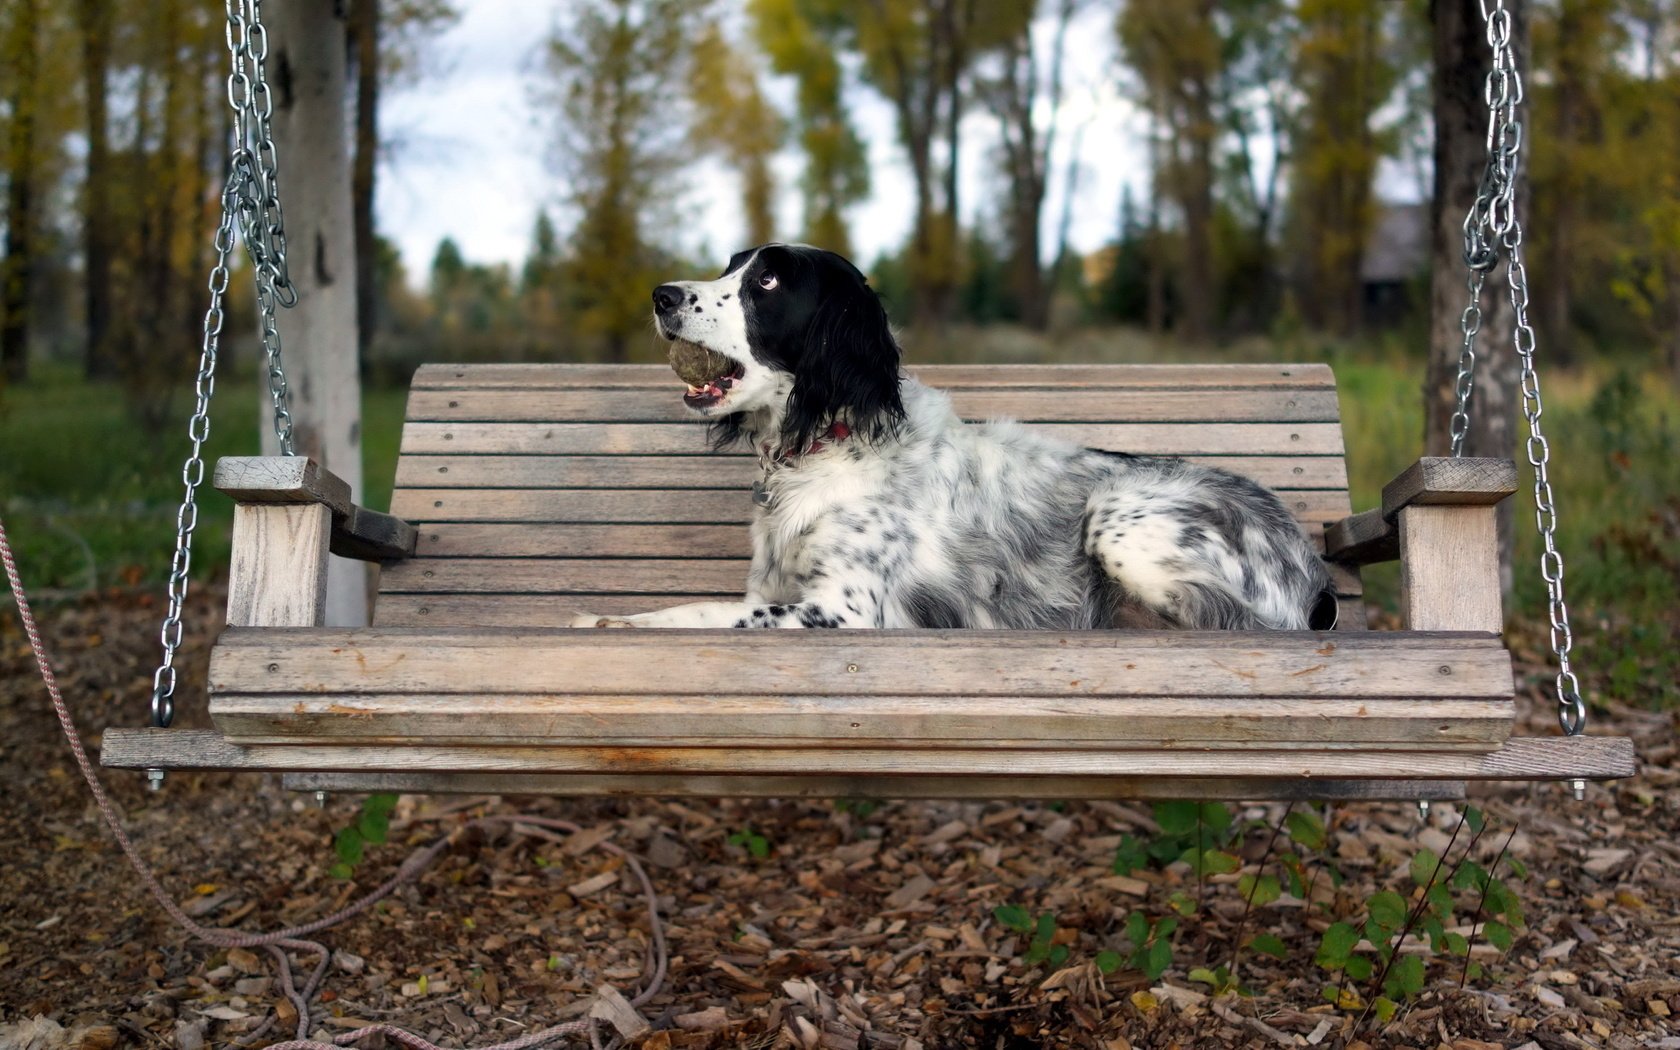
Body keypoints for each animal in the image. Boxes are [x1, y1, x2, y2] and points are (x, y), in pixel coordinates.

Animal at [571, 241, 1330, 624]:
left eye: (769, 282)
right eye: (731, 266)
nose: (661, 294)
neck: (827, 444)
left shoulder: (844, 610)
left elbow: (701, 617)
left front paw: (610, 625)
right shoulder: (774, 588)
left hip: (1116, 520)